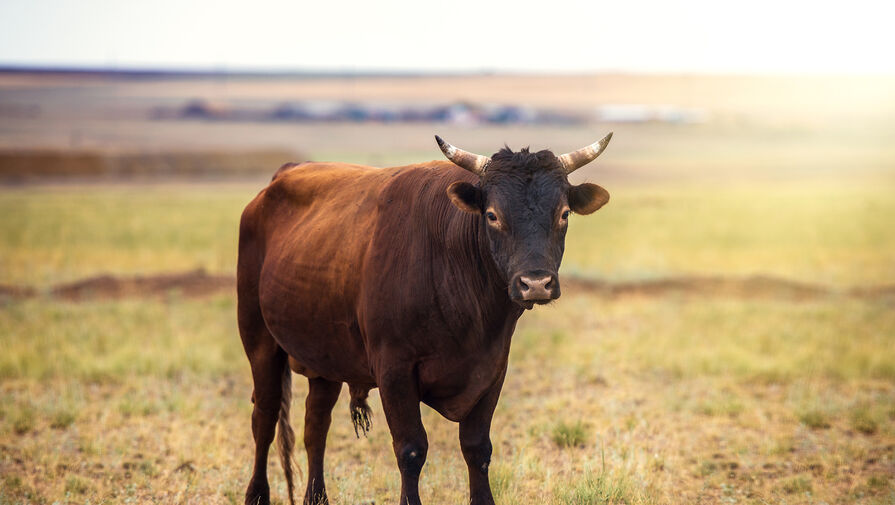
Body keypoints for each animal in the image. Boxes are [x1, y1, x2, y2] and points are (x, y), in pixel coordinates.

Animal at [238, 133, 616, 504]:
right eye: (492, 215)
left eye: (564, 213)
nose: (535, 283)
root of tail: (279, 179)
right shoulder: (394, 371)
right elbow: (411, 449)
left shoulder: (492, 370)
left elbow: (477, 449)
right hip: (260, 343)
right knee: (264, 418)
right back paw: (256, 494)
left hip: (325, 359)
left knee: (316, 425)